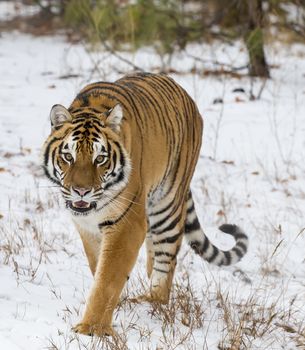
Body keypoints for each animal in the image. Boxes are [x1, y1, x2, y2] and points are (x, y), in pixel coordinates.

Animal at [42, 72, 247, 336]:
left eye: (100, 158)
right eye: (68, 156)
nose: (81, 191)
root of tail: (184, 93)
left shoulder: (127, 223)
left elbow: (108, 278)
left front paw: (92, 328)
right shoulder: (87, 227)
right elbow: (99, 267)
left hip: (166, 207)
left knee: (167, 258)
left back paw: (154, 301)